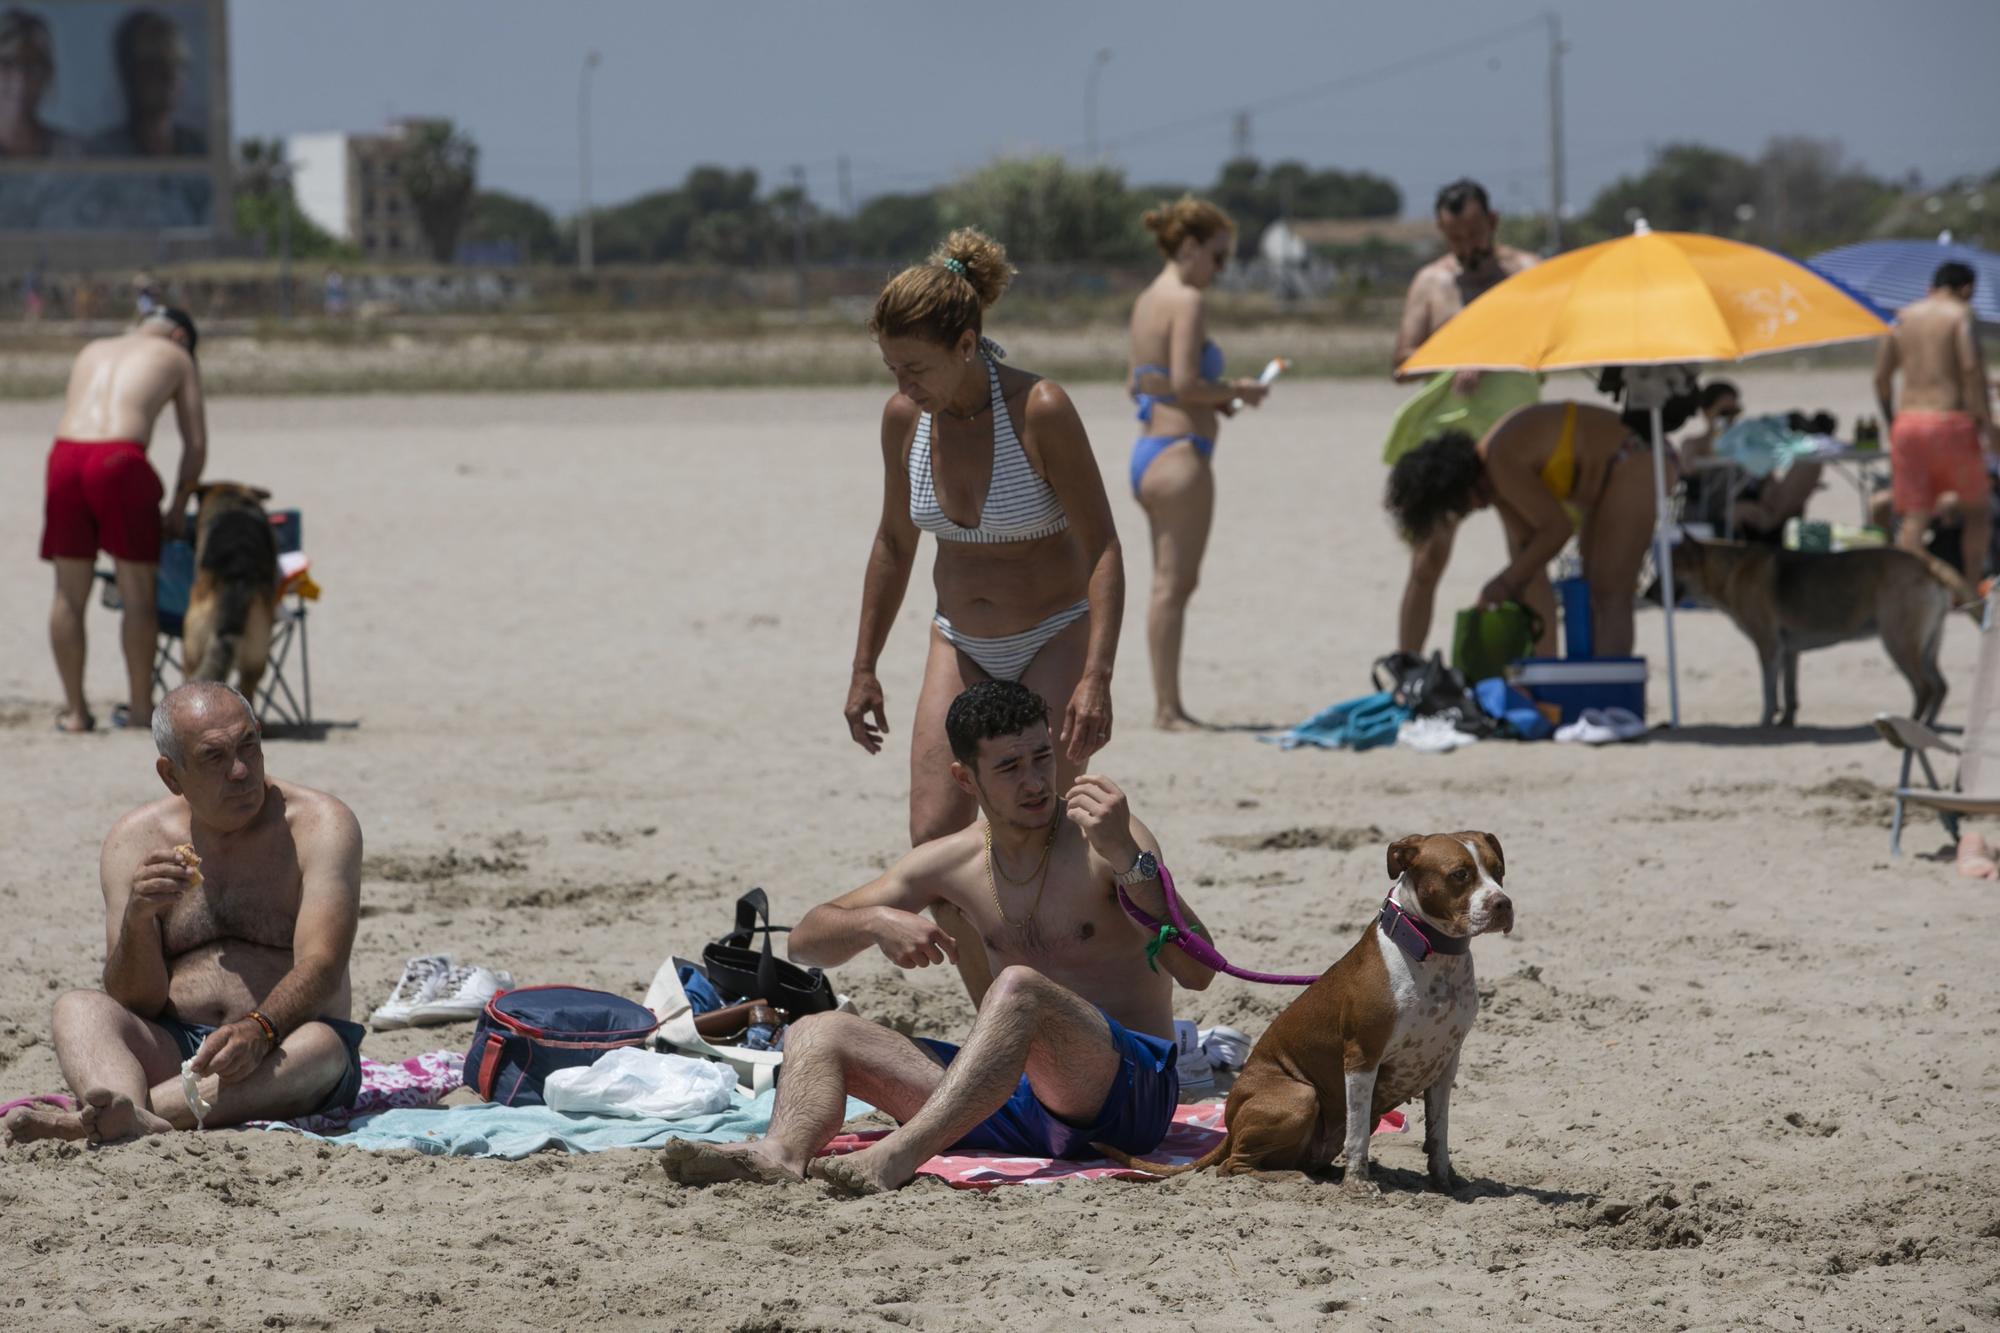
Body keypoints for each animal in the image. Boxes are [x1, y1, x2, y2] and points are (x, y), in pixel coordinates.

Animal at [1104, 824, 1504, 1184]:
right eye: (1460, 875)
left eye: (1498, 870)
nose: (1503, 903)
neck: (1431, 951)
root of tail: (1229, 1124)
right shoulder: (1361, 1057)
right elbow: (1357, 1134)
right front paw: (1357, 1184)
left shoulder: (1444, 1065)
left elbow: (1438, 1132)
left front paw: (1445, 1181)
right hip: (1300, 1095)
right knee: (1233, 1166)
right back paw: (1290, 1178)